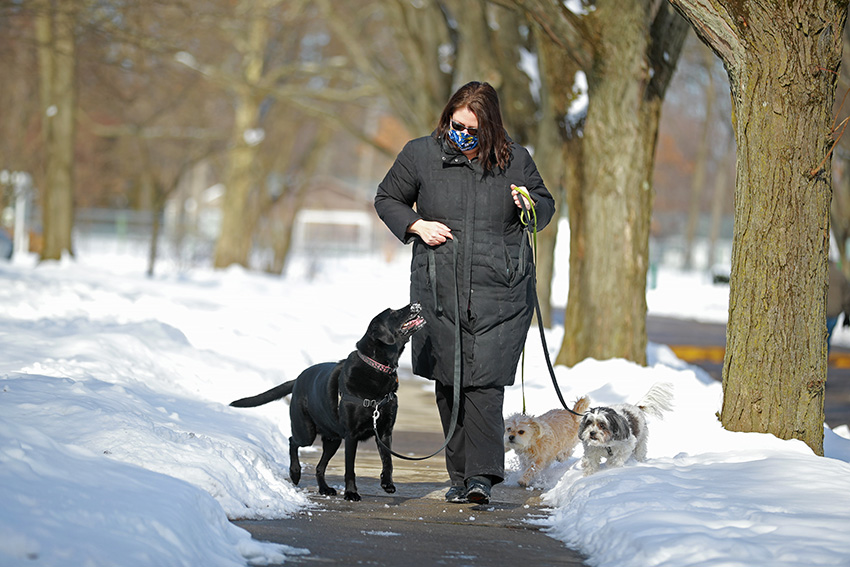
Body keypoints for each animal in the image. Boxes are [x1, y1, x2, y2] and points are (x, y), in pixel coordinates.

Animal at [229, 302, 424, 502]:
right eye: (393, 313)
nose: (416, 303)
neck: (377, 366)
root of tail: (297, 379)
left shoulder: (384, 432)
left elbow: (388, 460)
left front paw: (387, 484)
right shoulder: (351, 435)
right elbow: (350, 468)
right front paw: (351, 493)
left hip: (333, 439)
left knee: (319, 467)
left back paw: (324, 488)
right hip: (306, 432)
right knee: (293, 441)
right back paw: (295, 473)